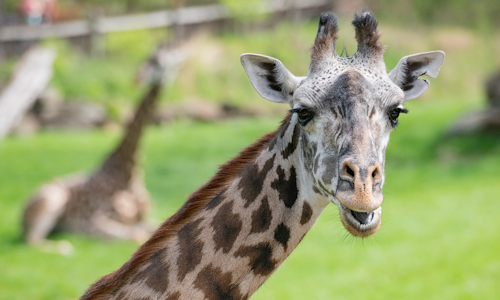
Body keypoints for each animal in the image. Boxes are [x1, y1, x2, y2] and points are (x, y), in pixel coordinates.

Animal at [22, 45, 185, 251]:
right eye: (150, 59)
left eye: (165, 61)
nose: (137, 78)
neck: (129, 173)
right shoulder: (94, 222)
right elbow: (135, 237)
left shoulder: (144, 220)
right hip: (53, 199)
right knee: (32, 240)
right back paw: (65, 247)